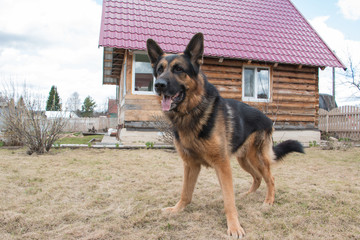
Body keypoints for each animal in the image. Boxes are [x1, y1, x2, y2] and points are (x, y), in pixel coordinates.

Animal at [146, 32, 304, 237]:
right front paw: (177, 209)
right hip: (244, 160)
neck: (192, 112)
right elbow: (186, 193)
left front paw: (234, 226)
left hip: (257, 158)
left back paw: (269, 201)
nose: (159, 85)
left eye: (179, 69)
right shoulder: (191, 165)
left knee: (270, 178)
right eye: (159, 70)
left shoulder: (222, 165)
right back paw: (248, 195)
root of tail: (268, 119)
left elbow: (228, 199)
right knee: (257, 177)